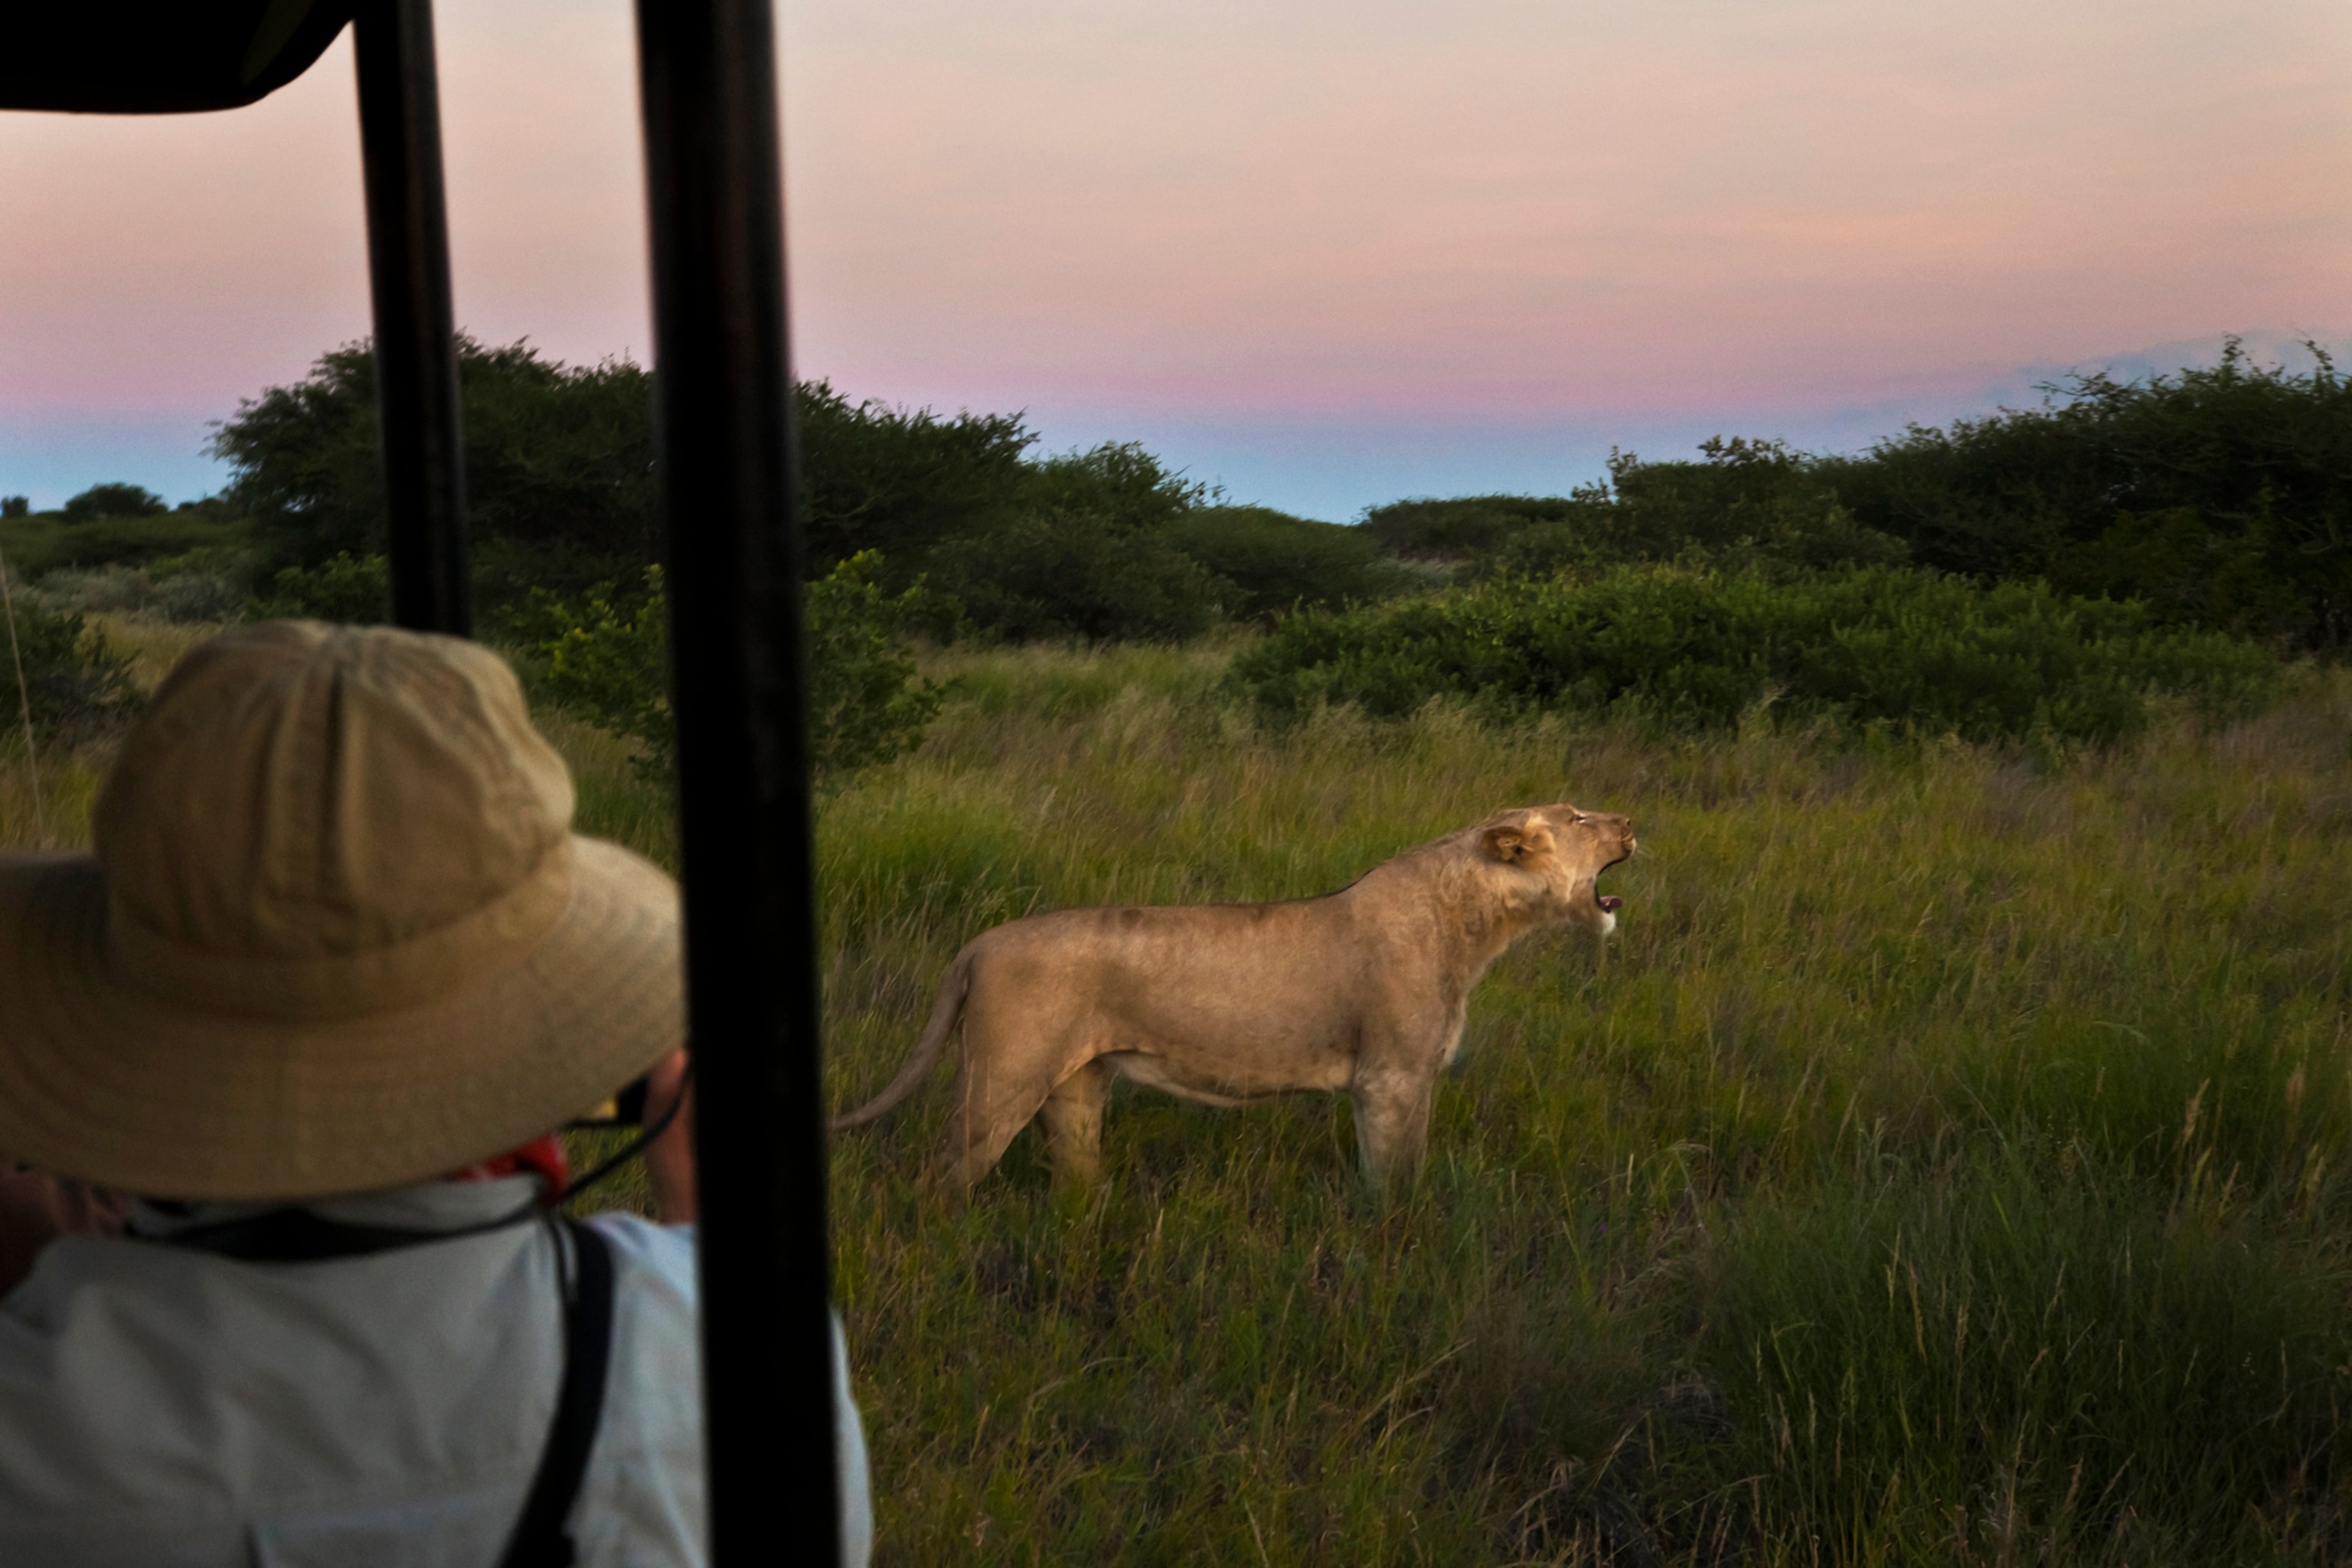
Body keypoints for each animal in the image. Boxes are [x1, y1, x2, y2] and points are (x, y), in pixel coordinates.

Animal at [830, 802, 1636, 1190]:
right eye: (1578, 818)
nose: (1633, 822)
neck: (1475, 921)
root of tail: (976, 944)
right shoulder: (1391, 1080)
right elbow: (1395, 1183)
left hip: (1077, 1090)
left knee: (1074, 1182)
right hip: (1000, 1083)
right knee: (936, 1181)